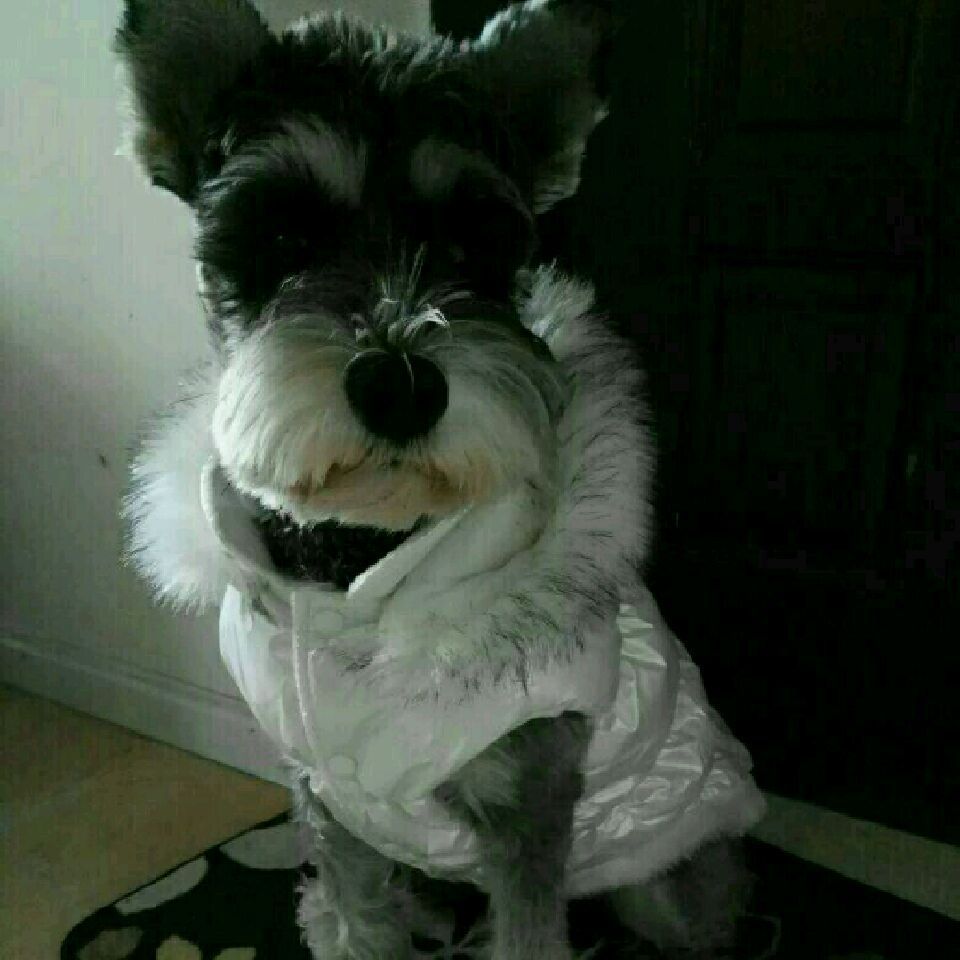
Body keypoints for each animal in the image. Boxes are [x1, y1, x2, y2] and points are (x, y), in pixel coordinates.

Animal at [116, 2, 765, 958]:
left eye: (474, 241)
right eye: (283, 233)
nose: (400, 385)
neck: (354, 572)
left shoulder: (529, 803)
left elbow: (528, 932)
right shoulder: (328, 799)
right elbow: (353, 915)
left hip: (665, 886)